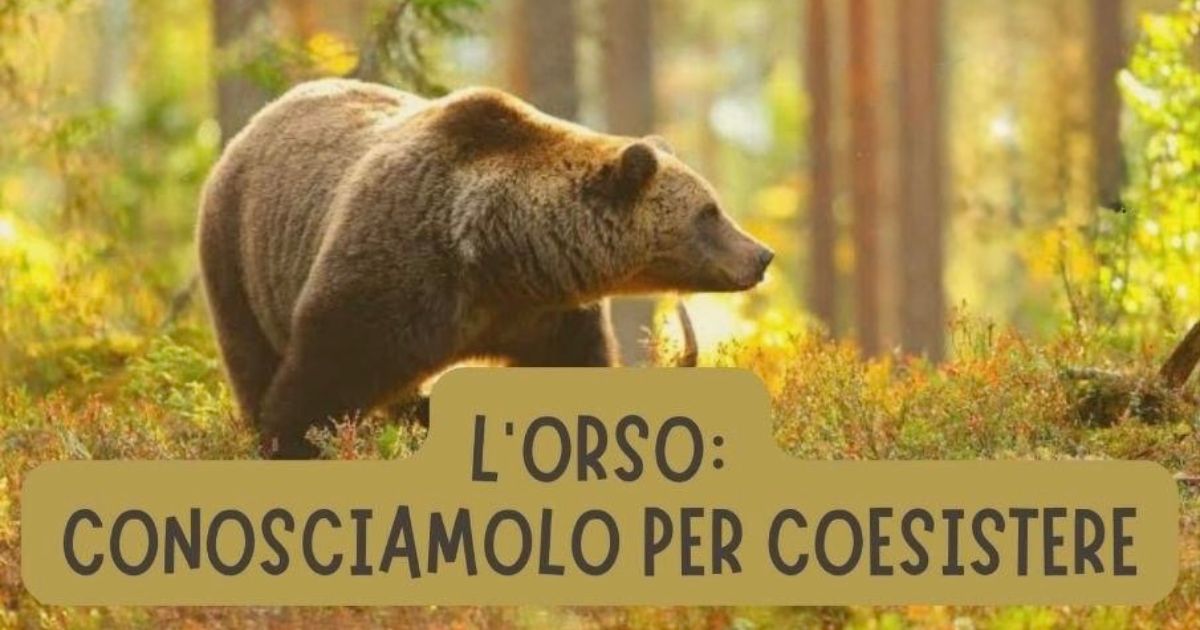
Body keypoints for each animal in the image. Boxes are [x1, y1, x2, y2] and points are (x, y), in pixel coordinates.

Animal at [197, 78, 773, 459]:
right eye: (709, 212)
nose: (761, 255)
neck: (499, 255)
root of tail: (258, 120)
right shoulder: (397, 270)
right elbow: (326, 369)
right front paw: (291, 441)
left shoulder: (546, 316)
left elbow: (572, 367)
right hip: (238, 254)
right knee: (251, 355)